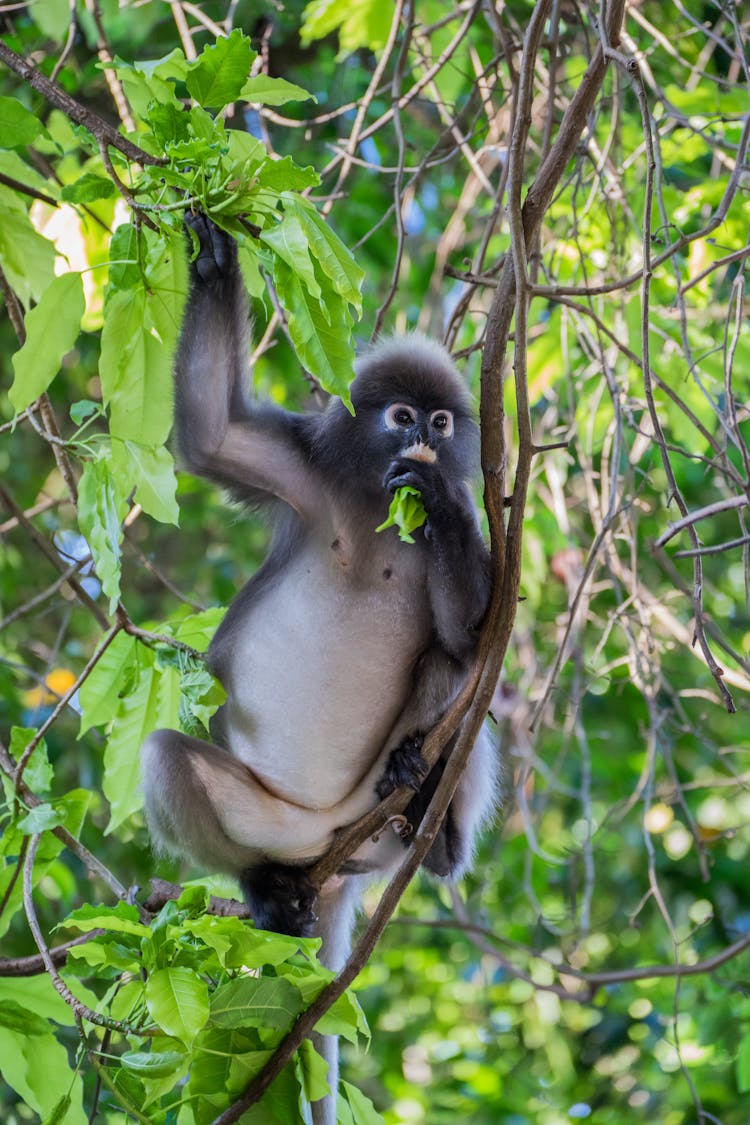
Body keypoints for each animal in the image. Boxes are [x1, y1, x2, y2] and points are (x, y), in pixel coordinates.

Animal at [143, 212, 501, 1125]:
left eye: (443, 423)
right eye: (403, 414)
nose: (425, 440)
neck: (377, 506)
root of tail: (330, 854)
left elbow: (474, 635)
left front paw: (439, 500)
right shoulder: (306, 467)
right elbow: (213, 436)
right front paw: (214, 259)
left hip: (373, 823)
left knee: (462, 688)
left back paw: (429, 804)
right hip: (273, 821)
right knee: (167, 757)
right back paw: (268, 890)